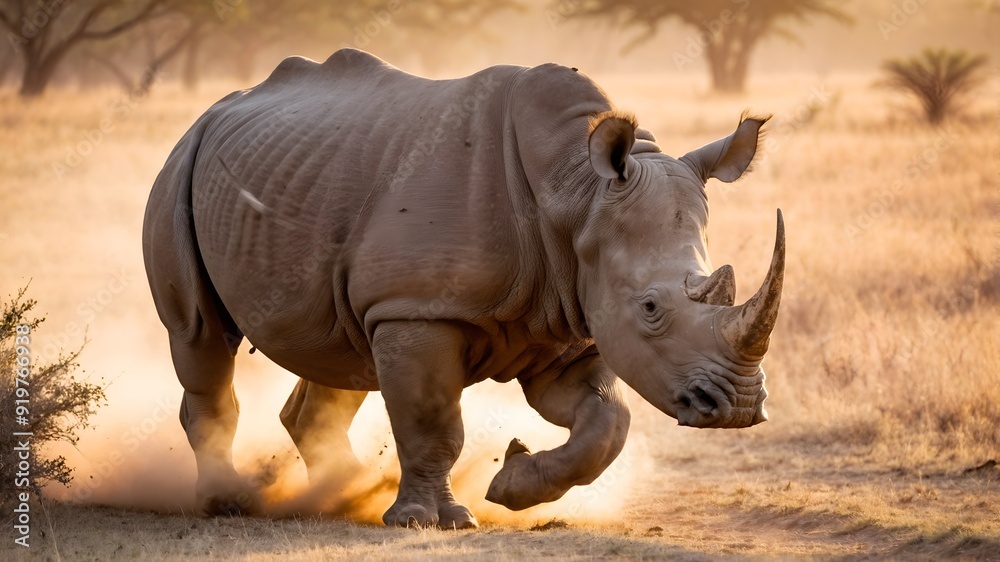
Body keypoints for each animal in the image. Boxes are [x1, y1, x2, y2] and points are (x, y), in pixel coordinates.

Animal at [142, 49, 784, 529]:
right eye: (650, 307)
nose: (737, 408)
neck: (576, 193)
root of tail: (216, 110)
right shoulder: (417, 309)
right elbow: (432, 421)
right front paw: (431, 522)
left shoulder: (574, 313)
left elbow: (606, 422)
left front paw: (510, 483)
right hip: (180, 168)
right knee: (199, 333)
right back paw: (231, 503)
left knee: (343, 352)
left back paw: (343, 495)